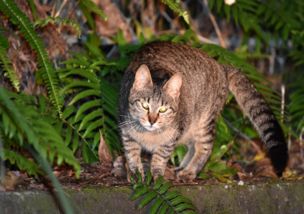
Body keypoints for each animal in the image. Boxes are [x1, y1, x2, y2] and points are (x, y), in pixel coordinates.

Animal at [117, 41, 288, 181]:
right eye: (145, 106)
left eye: (163, 109)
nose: (152, 121)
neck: (150, 136)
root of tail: (221, 66)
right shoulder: (126, 131)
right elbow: (131, 153)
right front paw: (135, 173)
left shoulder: (172, 138)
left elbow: (160, 156)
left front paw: (157, 175)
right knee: (192, 146)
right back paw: (182, 166)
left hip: (204, 121)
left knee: (205, 146)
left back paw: (189, 171)